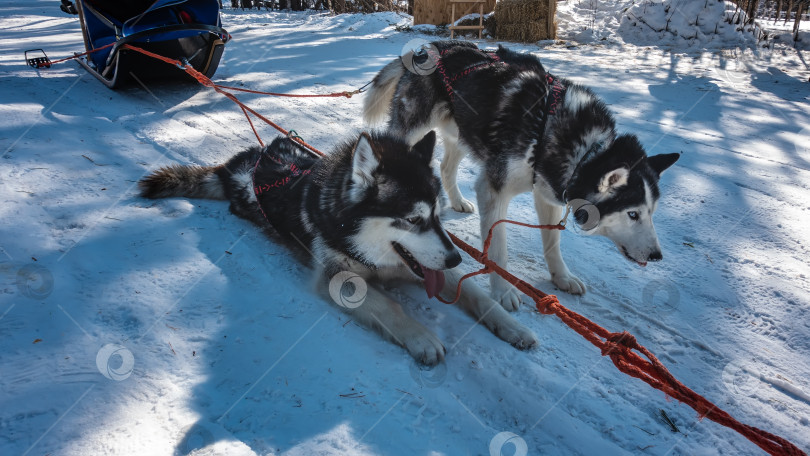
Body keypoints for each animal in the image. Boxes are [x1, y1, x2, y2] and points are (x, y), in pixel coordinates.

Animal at [139, 131, 536, 364]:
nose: (455, 257)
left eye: (438, 214)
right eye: (412, 219)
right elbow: (389, 306)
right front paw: (421, 336)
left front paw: (511, 327)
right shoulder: (338, 277)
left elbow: (475, 293)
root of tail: (243, 162)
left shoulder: (426, 263)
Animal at [362, 41, 680, 310]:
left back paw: (456, 201)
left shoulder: (546, 193)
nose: (657, 256)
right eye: (633, 214)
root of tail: (430, 47)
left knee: (445, 167)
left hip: (463, 133)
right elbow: (498, 251)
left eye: (651, 211)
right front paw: (502, 291)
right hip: (413, 129)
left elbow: (552, 244)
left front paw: (561, 277)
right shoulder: (493, 190)